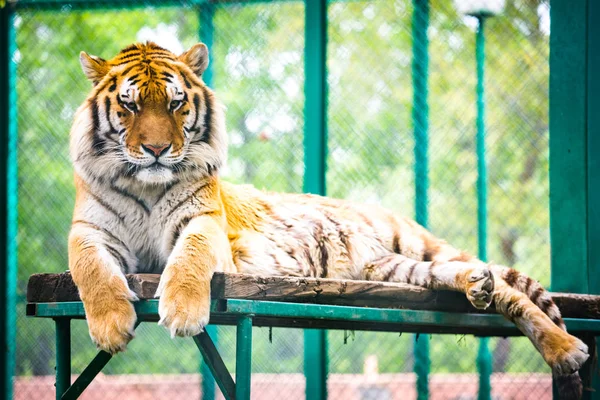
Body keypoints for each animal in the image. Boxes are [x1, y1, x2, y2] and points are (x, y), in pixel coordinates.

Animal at [69, 42, 584, 398]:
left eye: (177, 104)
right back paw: (480, 288)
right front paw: (111, 325)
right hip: (391, 268)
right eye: (130, 105)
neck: (147, 185)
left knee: (511, 291)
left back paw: (565, 348)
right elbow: (89, 269)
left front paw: (180, 311)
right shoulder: (90, 231)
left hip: (412, 243)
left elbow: (190, 257)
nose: (157, 149)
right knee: (474, 279)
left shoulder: (205, 222)